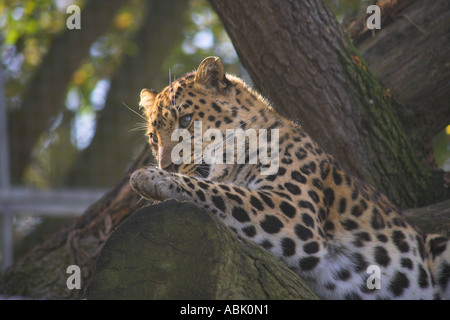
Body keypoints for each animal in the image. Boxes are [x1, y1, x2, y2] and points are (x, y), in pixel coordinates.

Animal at [129, 56, 450, 298]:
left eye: (186, 120)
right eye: (153, 138)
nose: (167, 165)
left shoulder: (293, 209)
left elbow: (218, 191)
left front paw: (149, 178)